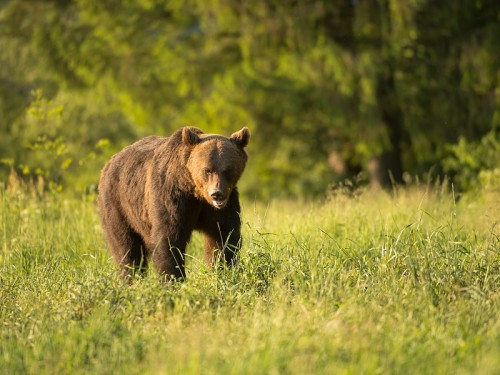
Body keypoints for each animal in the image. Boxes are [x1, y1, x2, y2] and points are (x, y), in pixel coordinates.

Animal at [98, 128, 252, 280]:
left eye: (228, 170)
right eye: (207, 170)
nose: (217, 193)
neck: (194, 190)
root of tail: (109, 162)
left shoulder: (221, 206)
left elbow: (224, 236)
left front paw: (223, 270)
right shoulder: (171, 195)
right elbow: (169, 237)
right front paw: (173, 278)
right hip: (119, 204)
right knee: (126, 246)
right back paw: (131, 277)